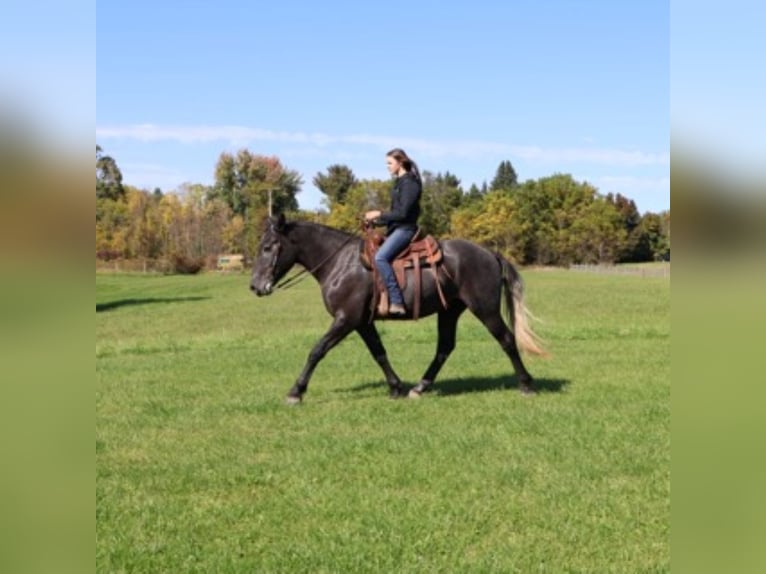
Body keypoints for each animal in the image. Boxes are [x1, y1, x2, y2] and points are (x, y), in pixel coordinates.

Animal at [250, 214, 547, 404]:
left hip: (485, 310)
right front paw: (395, 387)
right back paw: (420, 387)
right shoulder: (362, 322)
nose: (255, 286)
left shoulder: (346, 319)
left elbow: (317, 351)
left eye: (268, 247)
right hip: (449, 311)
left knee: (506, 339)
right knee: (444, 348)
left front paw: (296, 391)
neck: (340, 263)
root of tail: (490, 254)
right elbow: (379, 353)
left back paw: (526, 384)